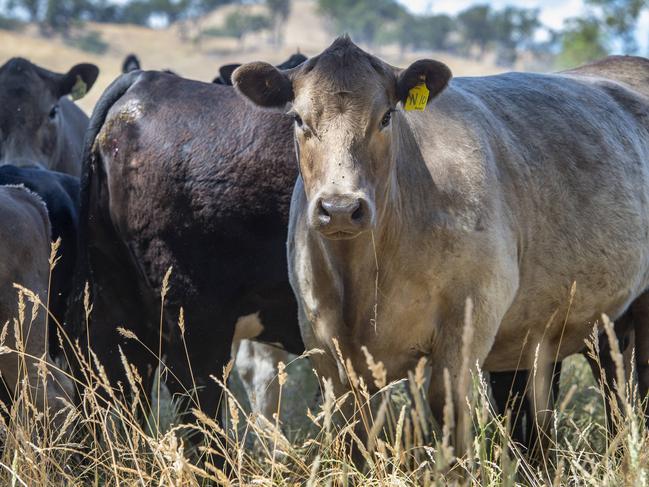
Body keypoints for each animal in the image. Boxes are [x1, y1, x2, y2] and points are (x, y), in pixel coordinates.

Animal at [233, 39, 649, 458]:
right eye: (299, 119)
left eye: (386, 116)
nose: (339, 208)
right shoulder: (323, 341)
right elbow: (355, 432)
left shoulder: (471, 315)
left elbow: (447, 408)